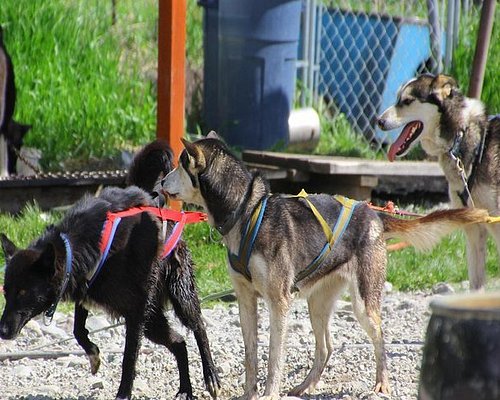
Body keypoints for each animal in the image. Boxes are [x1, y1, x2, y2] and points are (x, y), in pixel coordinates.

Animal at [0, 141, 221, 400]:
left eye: (24, 293)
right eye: (6, 292)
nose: (2, 331)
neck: (79, 245)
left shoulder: (136, 312)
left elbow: (129, 358)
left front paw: (123, 393)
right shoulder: (86, 290)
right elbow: (77, 329)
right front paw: (93, 354)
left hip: (178, 294)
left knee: (198, 328)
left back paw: (211, 375)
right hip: (153, 319)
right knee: (178, 342)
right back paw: (185, 389)